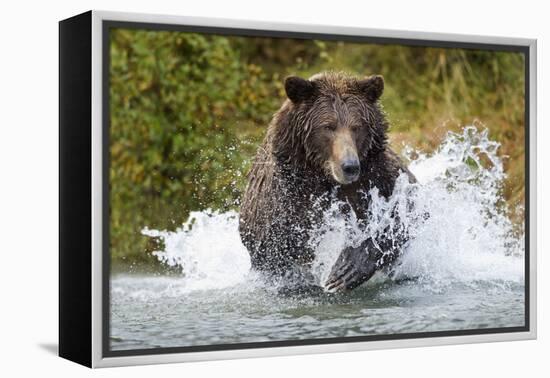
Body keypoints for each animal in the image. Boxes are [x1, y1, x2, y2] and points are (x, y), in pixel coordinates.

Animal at [239, 71, 416, 292]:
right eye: (328, 126)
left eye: (356, 127)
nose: (350, 166)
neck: (325, 176)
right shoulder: (285, 198)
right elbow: (283, 244)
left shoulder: (379, 178)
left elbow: (403, 214)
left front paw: (345, 270)